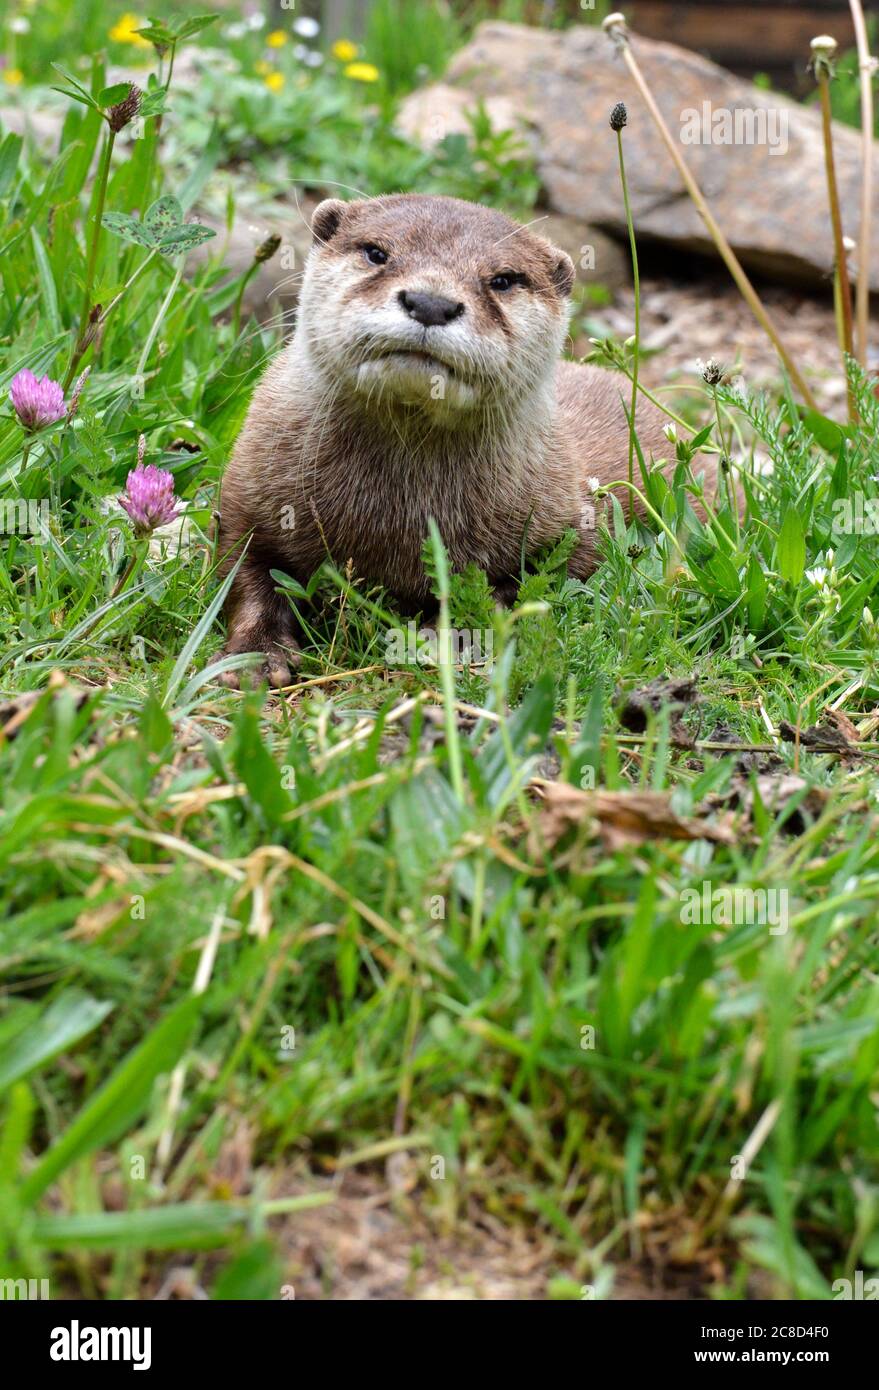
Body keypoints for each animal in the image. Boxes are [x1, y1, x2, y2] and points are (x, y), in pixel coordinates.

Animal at [216, 195, 684, 689]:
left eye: (502, 279)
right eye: (377, 253)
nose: (430, 302)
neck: (393, 520)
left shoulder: (577, 514)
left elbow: (535, 582)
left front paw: (442, 628)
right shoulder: (247, 495)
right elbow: (243, 571)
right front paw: (255, 655)